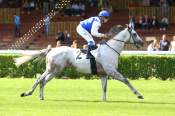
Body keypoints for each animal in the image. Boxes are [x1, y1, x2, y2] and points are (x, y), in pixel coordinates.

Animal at [14, 25, 144, 100]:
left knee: (43, 81)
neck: (110, 50)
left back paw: (41, 97)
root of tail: (52, 49)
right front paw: (138, 94)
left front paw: (104, 100)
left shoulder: (104, 74)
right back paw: (27, 93)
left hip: (55, 71)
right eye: (135, 34)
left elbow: (104, 88)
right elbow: (126, 80)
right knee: (39, 79)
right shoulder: (111, 71)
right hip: (52, 69)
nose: (142, 43)